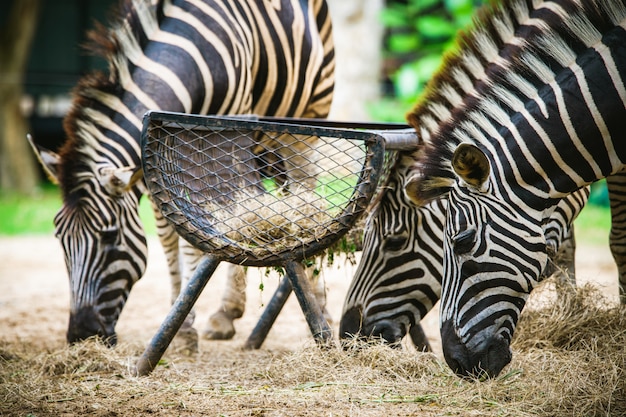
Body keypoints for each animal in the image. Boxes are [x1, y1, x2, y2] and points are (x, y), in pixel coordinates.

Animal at [26, 0, 334, 344]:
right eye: (59, 237)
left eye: (110, 237)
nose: (81, 335)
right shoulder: (154, 156)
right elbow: (169, 234)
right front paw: (181, 317)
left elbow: (200, 231)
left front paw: (186, 330)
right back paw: (229, 311)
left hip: (308, 115)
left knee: (302, 187)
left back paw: (317, 305)